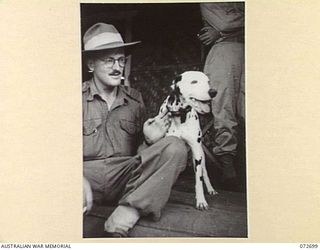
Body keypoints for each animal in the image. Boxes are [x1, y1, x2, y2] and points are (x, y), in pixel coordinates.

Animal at [157, 70, 218, 209]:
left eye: (208, 81)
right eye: (194, 81)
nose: (213, 92)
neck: (181, 116)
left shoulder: (197, 153)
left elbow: (199, 181)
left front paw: (201, 201)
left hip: (200, 156)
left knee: (204, 173)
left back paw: (211, 189)